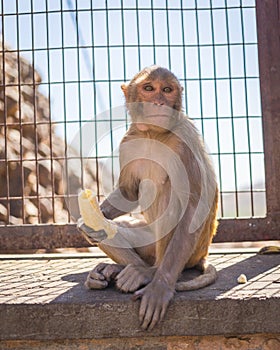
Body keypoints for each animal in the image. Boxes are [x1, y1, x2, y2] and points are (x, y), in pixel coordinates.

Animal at [78, 65, 219, 330]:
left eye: (167, 89)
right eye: (149, 88)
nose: (159, 102)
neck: (154, 135)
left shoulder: (185, 142)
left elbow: (193, 207)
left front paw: (160, 286)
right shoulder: (128, 142)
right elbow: (128, 192)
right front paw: (91, 221)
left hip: (190, 252)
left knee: (169, 194)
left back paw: (150, 273)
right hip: (146, 241)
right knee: (115, 228)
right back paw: (120, 268)